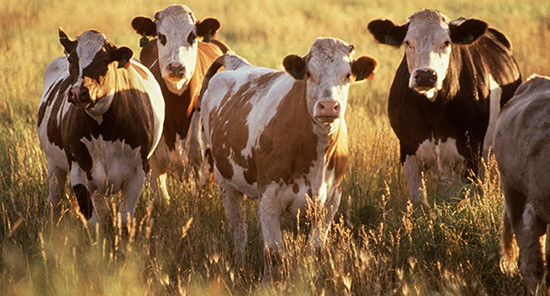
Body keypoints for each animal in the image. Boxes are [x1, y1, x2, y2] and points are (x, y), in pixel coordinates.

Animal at [38, 28, 165, 224]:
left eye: (105, 61)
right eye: (71, 59)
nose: (78, 92)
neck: (103, 132)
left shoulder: (138, 172)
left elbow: (124, 220)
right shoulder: (78, 171)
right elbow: (93, 221)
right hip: (54, 164)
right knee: (55, 200)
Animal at [193, 37, 380, 280]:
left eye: (348, 74)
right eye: (309, 73)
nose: (328, 106)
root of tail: (238, 64)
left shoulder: (330, 201)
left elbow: (313, 250)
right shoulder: (270, 197)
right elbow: (274, 252)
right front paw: (269, 284)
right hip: (226, 181)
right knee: (238, 231)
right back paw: (240, 267)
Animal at [368, 9, 524, 204]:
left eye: (446, 42)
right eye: (407, 42)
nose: (425, 75)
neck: (434, 110)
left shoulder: (471, 152)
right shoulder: (407, 149)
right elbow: (419, 200)